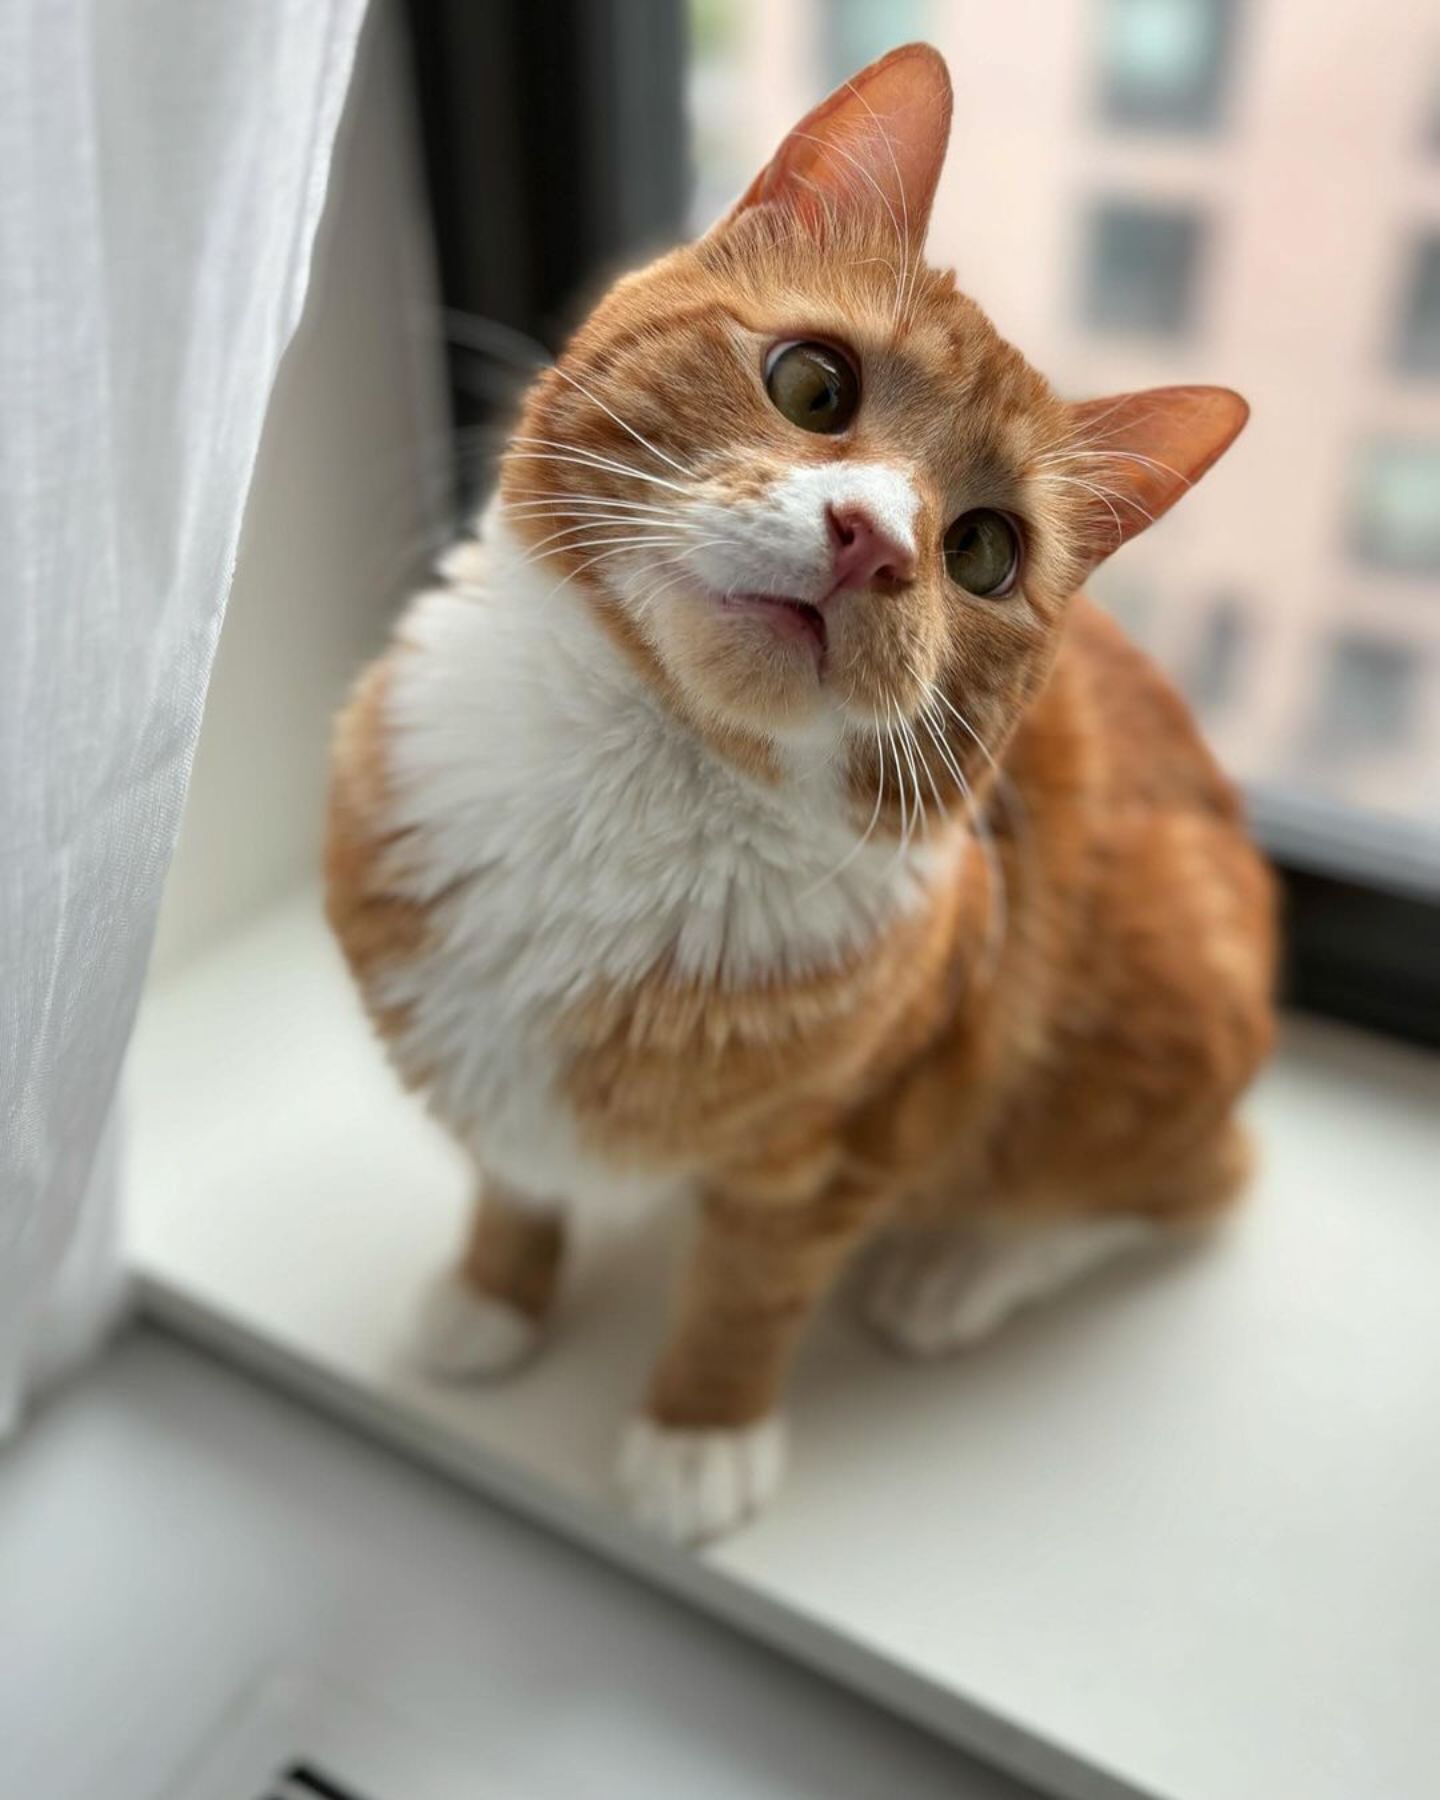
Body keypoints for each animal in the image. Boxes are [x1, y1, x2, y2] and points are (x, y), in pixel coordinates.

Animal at [324, 45, 1274, 1548]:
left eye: (986, 553)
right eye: (814, 385)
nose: (872, 540)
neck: (643, 786)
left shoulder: (836, 1155)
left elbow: (745, 1294)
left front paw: (698, 1434)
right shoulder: (472, 1041)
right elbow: (510, 1172)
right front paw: (493, 1292)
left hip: (1166, 1012)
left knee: (1198, 1183)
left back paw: (956, 1274)